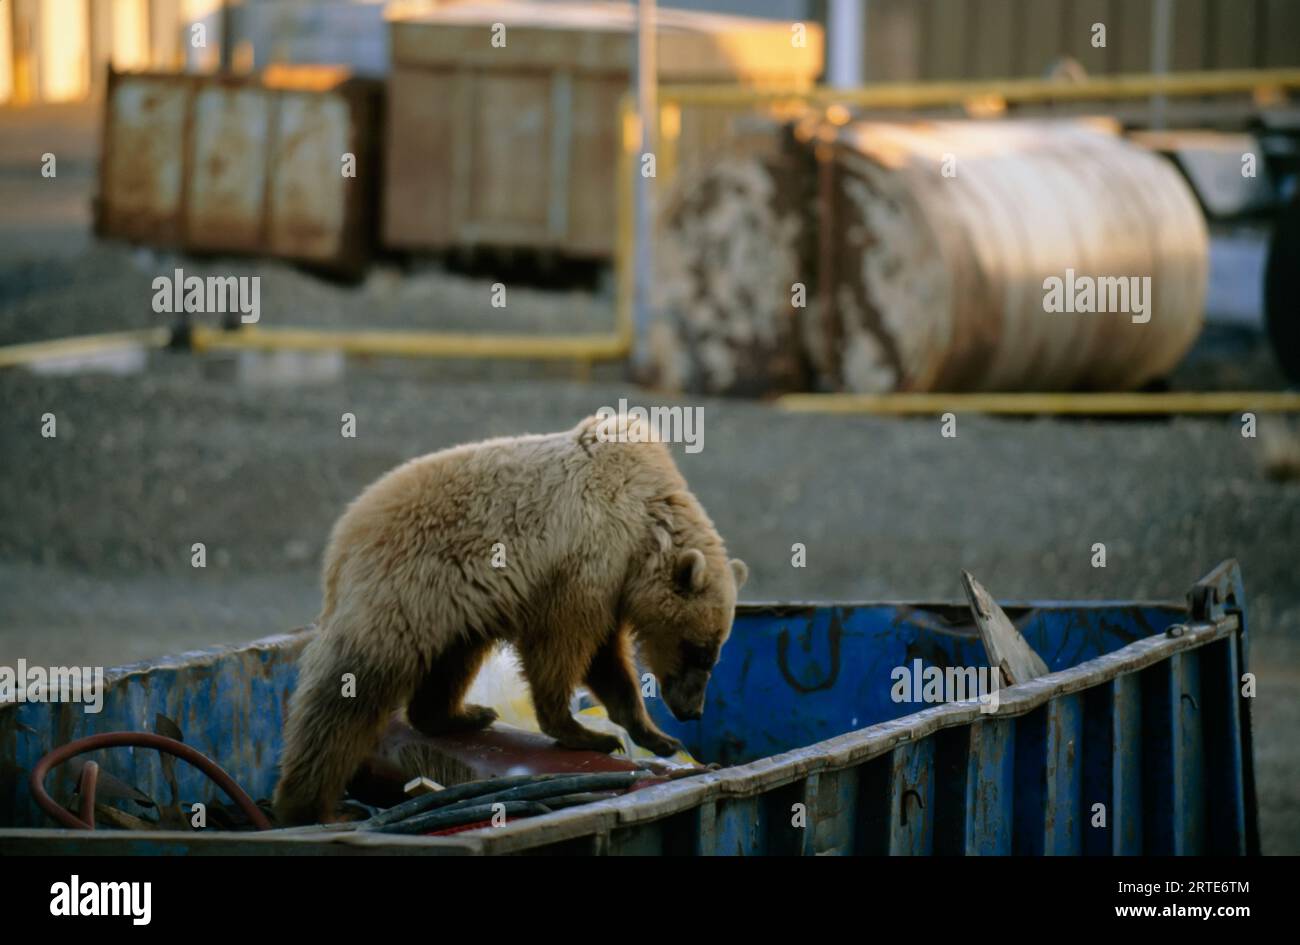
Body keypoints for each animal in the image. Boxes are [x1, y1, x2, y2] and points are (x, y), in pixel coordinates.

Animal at [273, 414, 747, 825]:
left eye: (713, 652)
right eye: (700, 650)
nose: (692, 710)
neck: (644, 519)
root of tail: (344, 537)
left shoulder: (610, 582)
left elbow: (607, 660)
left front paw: (655, 736)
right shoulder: (584, 560)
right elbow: (563, 645)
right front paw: (588, 732)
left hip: (455, 605)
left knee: (453, 658)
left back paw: (461, 714)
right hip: (403, 592)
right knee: (346, 694)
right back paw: (308, 804)